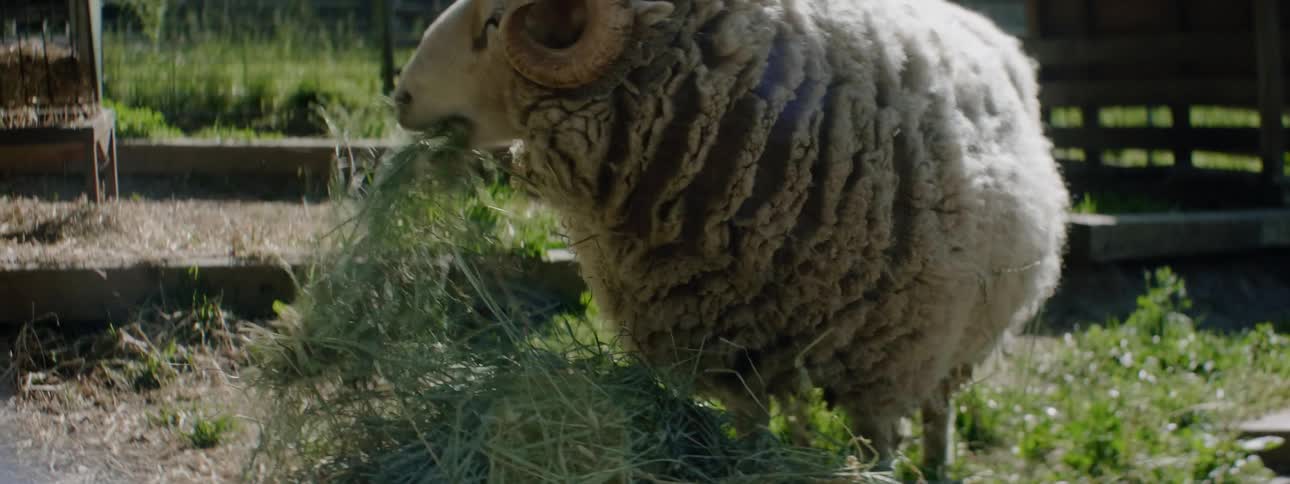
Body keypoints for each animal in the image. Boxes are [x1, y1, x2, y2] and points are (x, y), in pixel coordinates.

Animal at [392, 0, 1070, 479]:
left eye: (495, 22)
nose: (398, 96)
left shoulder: (888, 369)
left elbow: (877, 451)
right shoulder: (731, 350)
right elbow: (753, 438)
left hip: (960, 334)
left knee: (940, 408)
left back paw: (937, 466)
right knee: (801, 405)